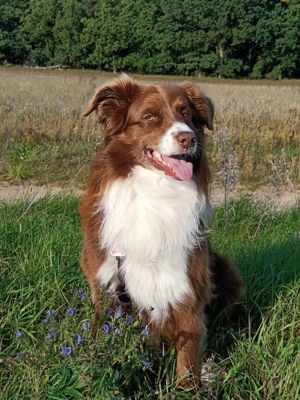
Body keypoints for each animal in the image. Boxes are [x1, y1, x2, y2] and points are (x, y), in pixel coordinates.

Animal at [78, 74, 241, 388]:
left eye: (186, 114)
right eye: (149, 117)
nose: (188, 138)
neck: (155, 192)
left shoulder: (186, 293)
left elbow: (187, 366)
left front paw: (188, 388)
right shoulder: (106, 287)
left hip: (225, 269)